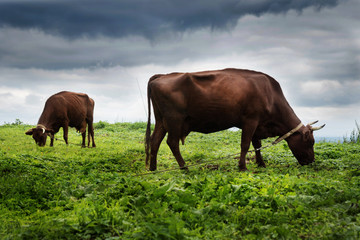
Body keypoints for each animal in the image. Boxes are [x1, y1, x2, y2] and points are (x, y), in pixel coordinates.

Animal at [145, 68, 324, 172]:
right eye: (310, 142)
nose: (311, 161)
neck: (270, 95)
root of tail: (162, 76)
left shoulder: (258, 124)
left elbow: (257, 145)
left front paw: (261, 164)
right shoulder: (250, 120)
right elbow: (245, 144)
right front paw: (242, 167)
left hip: (161, 120)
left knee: (155, 141)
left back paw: (153, 168)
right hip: (174, 119)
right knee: (172, 142)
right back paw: (184, 167)